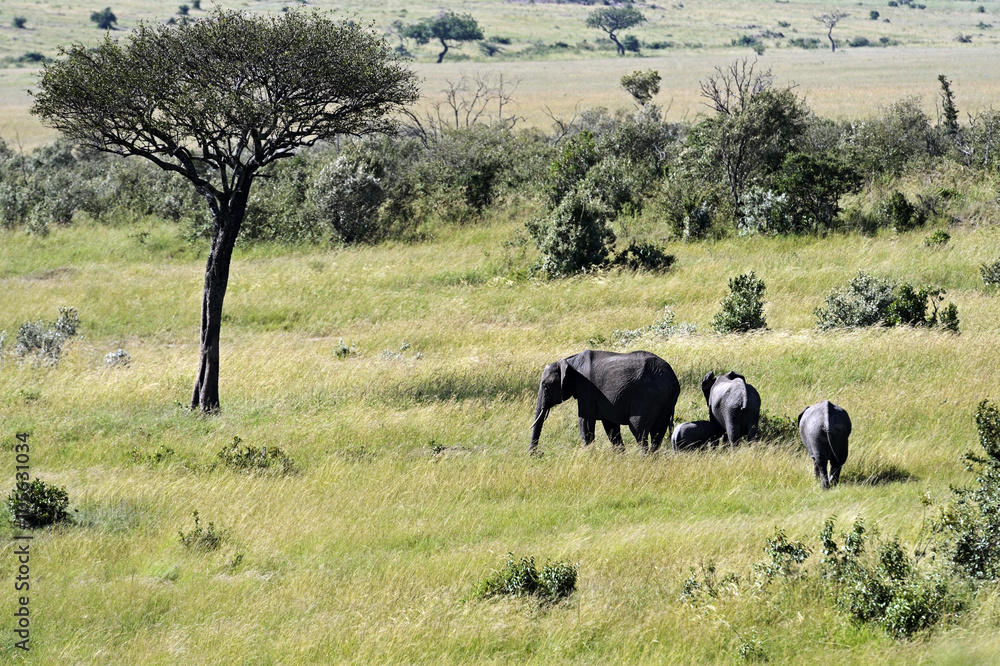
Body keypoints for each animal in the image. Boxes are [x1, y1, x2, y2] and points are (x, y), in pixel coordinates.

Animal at [529, 350, 680, 455]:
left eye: (545, 386)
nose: (539, 453)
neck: (570, 362)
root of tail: (674, 381)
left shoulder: (586, 389)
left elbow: (585, 422)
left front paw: (589, 456)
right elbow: (611, 427)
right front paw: (620, 457)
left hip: (648, 395)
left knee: (638, 429)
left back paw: (643, 459)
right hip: (664, 399)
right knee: (658, 431)